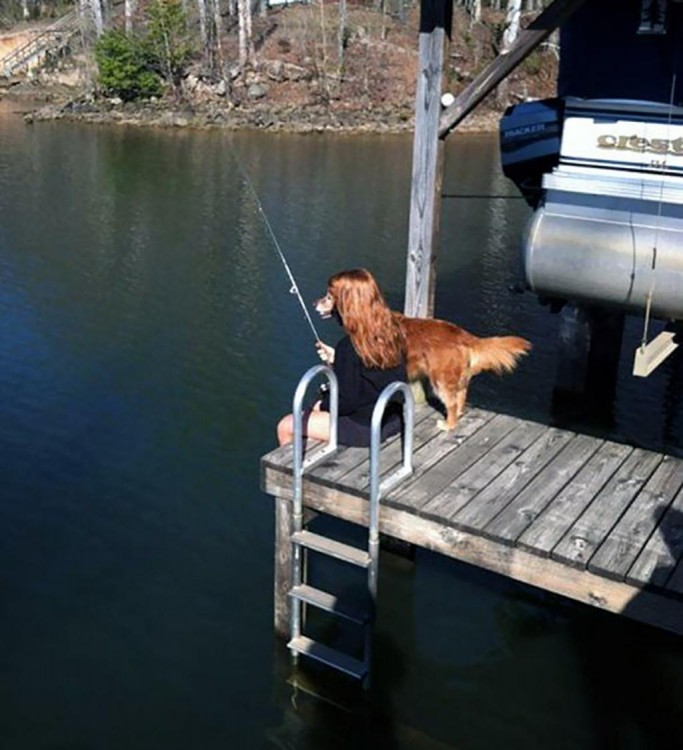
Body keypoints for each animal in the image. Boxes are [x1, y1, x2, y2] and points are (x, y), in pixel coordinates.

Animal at [316, 272, 536, 434]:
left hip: (440, 380)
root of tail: (463, 335)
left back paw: (448, 425)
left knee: (452, 403)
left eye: (328, 296)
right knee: (462, 396)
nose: (313, 303)